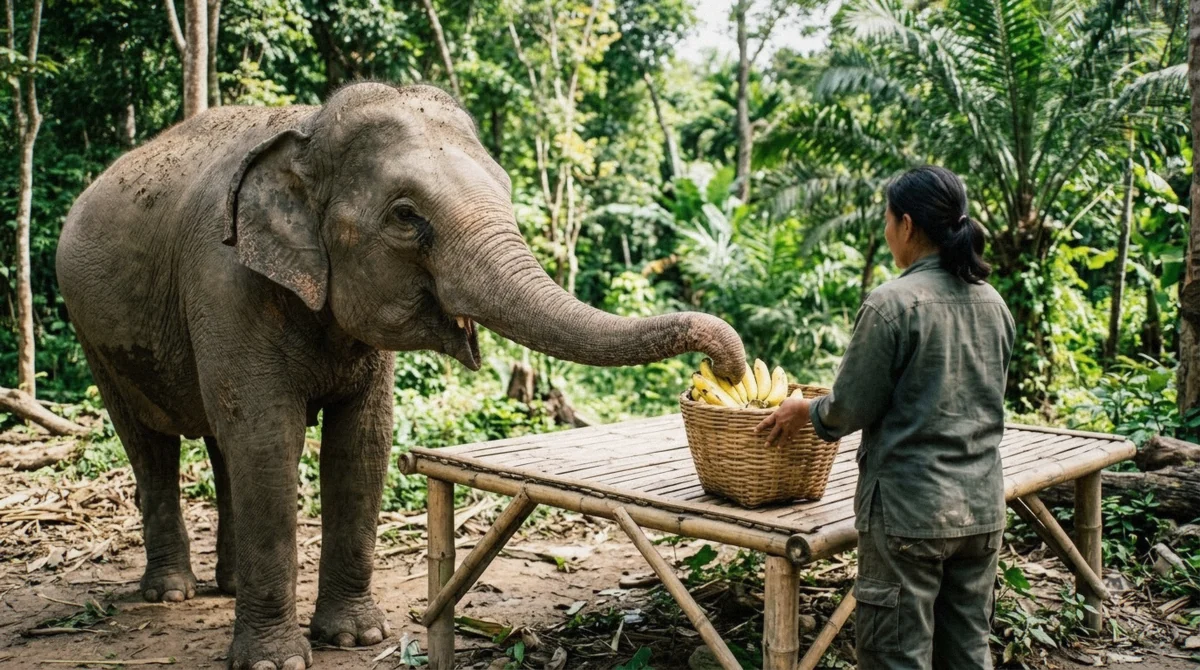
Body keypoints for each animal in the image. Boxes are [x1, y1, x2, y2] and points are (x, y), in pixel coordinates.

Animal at [56, 83, 745, 669]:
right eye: (407, 216)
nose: (725, 366)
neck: (306, 129)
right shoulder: (225, 282)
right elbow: (269, 439)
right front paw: (275, 663)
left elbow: (363, 442)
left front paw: (357, 638)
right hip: (92, 332)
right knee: (152, 444)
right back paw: (170, 593)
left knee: (222, 448)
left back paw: (225, 586)